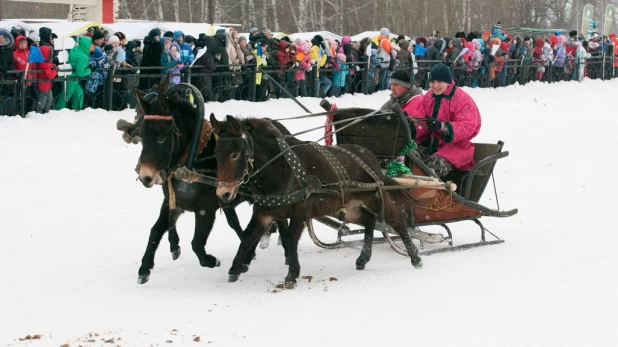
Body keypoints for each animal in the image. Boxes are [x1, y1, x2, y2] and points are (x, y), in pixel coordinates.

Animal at [209, 115, 422, 288]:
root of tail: (371, 158)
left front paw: (292, 274)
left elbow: (290, 238)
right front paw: (235, 269)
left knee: (397, 222)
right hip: (346, 208)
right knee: (369, 221)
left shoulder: (300, 210)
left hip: (375, 198)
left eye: (235, 154)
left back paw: (415, 257)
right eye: (216, 154)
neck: (281, 169)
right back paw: (363, 259)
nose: (223, 193)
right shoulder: (263, 212)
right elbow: (247, 236)